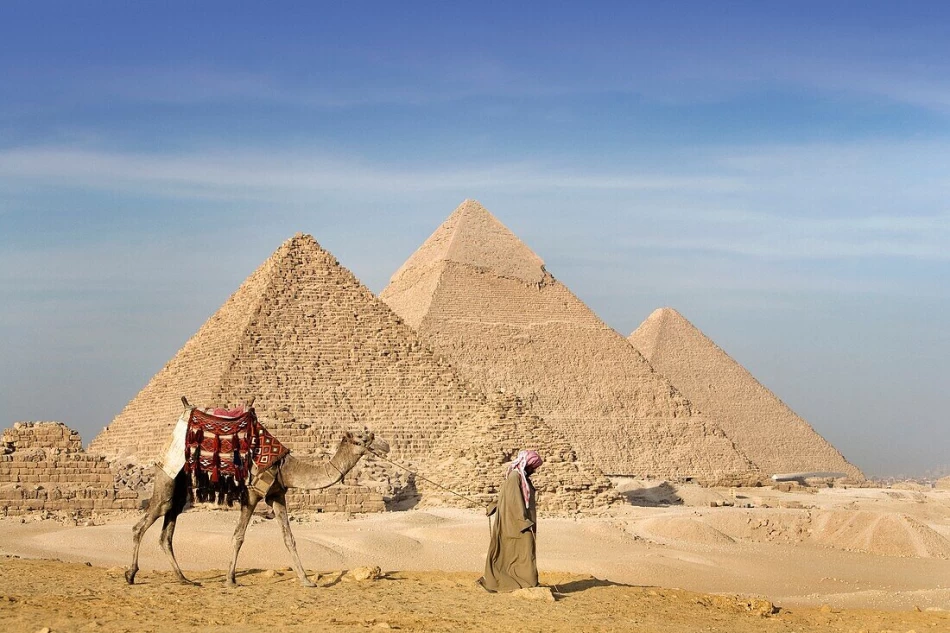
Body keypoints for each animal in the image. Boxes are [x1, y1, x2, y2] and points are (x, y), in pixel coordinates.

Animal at [125, 396, 386, 588]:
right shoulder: (251, 494)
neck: (286, 467)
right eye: (362, 438)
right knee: (140, 526)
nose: (384, 444)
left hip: (179, 493)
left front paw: (306, 580)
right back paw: (131, 574)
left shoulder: (277, 495)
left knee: (166, 535)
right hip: (167, 481)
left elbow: (289, 538)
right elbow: (239, 536)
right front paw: (230, 580)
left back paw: (184, 579)